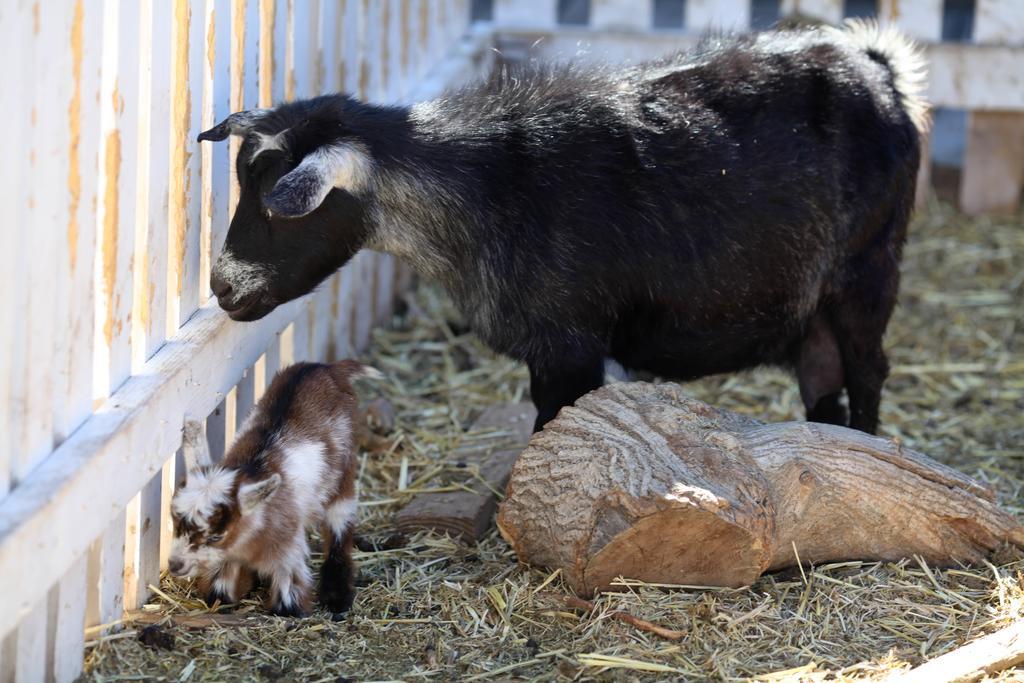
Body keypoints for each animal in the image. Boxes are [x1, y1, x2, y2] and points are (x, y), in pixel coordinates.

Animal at [167, 360, 380, 618]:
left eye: (216, 536)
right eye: (174, 521)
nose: (175, 565)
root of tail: (325, 367)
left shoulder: (287, 550)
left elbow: (289, 591)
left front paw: (289, 610)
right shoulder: (228, 556)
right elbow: (221, 587)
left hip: (344, 469)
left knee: (340, 520)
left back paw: (337, 596)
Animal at [197, 24, 929, 436]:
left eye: (278, 204)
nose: (224, 288)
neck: (490, 182)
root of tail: (880, 68)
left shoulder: (570, 345)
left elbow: (551, 427)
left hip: (870, 264)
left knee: (868, 367)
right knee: (822, 373)